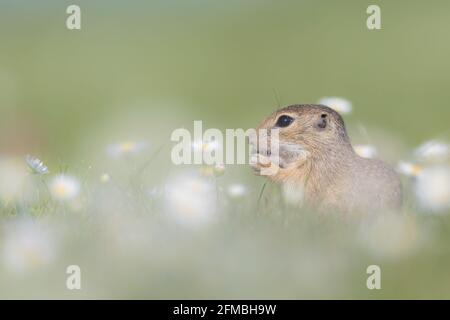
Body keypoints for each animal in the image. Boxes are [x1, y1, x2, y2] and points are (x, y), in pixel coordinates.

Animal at [251, 104, 402, 212]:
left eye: (284, 120)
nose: (249, 138)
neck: (322, 150)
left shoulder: (317, 172)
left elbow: (292, 180)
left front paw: (261, 164)